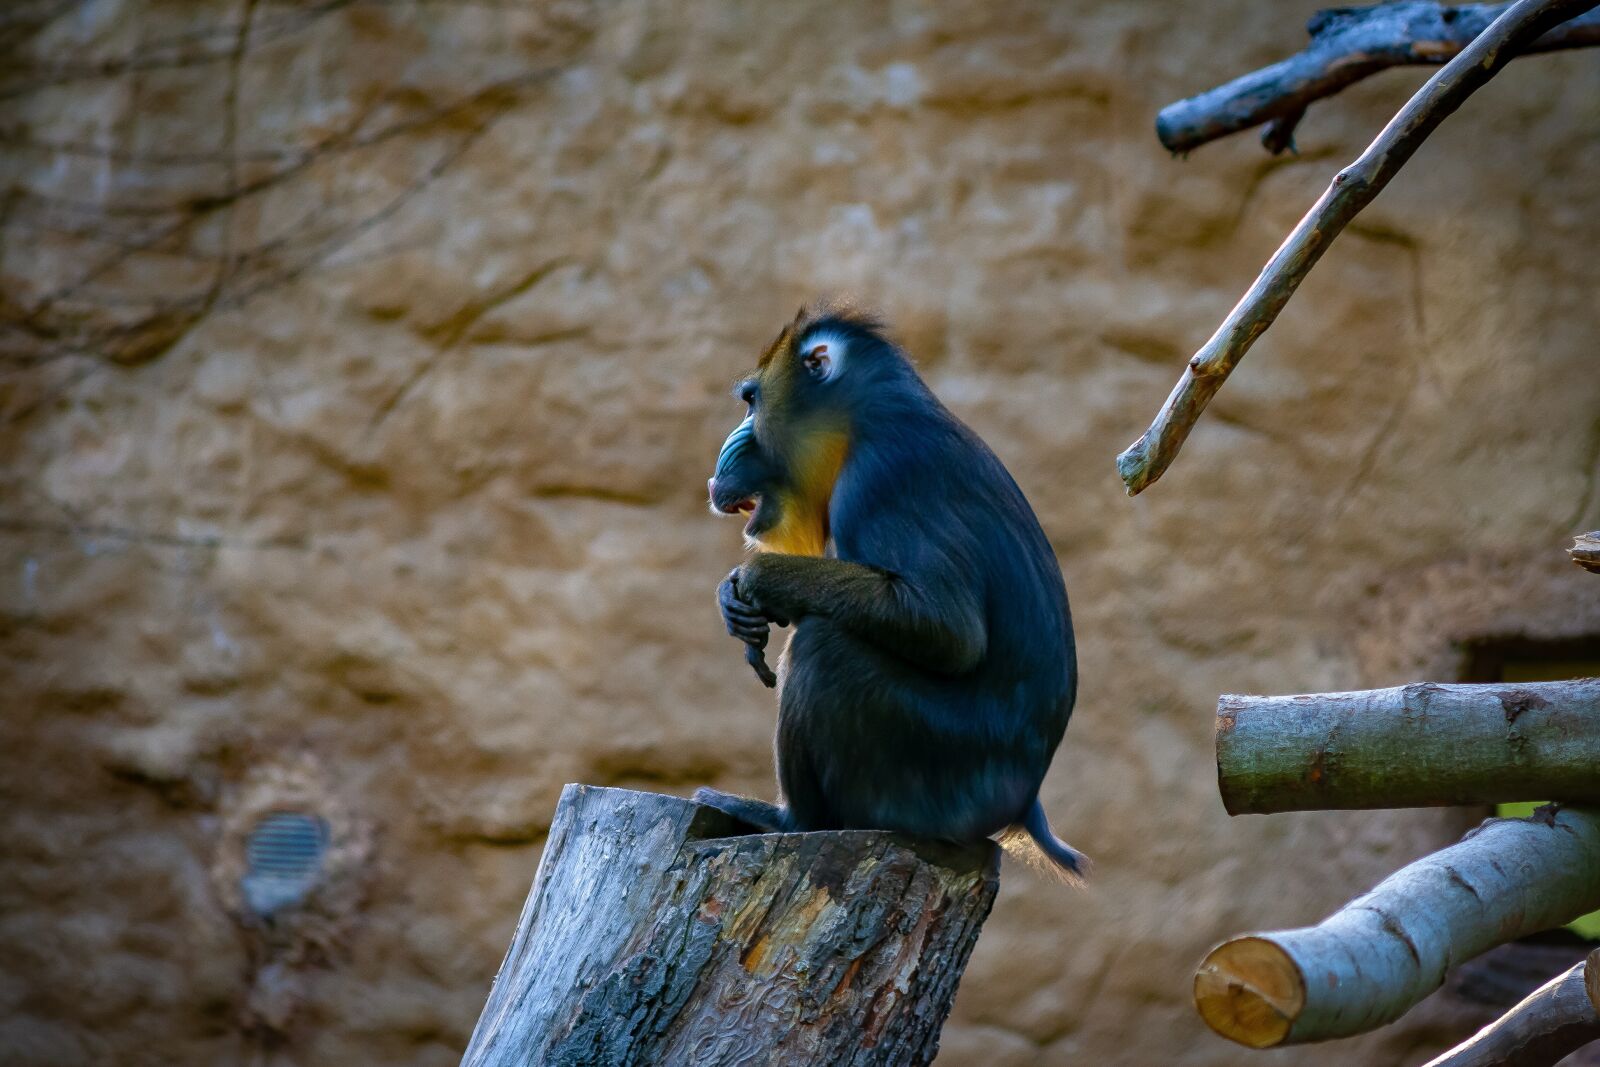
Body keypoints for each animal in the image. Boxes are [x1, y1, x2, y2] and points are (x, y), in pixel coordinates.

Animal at [698, 301, 1087, 882]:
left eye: (751, 402)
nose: (723, 457)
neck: (863, 418)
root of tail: (1023, 805)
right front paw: (734, 604)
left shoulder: (879, 477)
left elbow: (950, 630)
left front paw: (759, 582)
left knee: (824, 647)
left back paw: (788, 820)